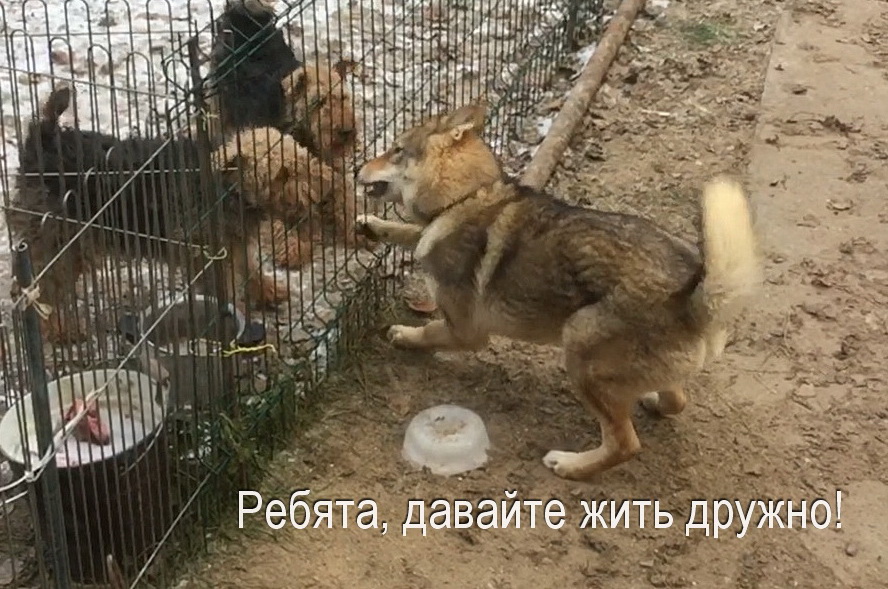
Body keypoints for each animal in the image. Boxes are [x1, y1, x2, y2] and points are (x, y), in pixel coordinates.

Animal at [7, 86, 290, 345]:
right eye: (283, 175)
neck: (227, 183)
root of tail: (42, 142)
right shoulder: (204, 251)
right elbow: (224, 287)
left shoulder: (232, 240)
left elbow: (249, 263)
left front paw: (266, 288)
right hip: (61, 242)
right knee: (37, 289)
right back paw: (60, 329)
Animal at [353, 102, 762, 481]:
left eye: (396, 149)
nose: (357, 170)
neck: (468, 195)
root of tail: (692, 297)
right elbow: (409, 232)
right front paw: (371, 225)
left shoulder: (465, 332)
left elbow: (428, 330)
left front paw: (403, 335)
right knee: (675, 400)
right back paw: (649, 402)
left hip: (578, 345)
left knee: (625, 443)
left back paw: (570, 465)